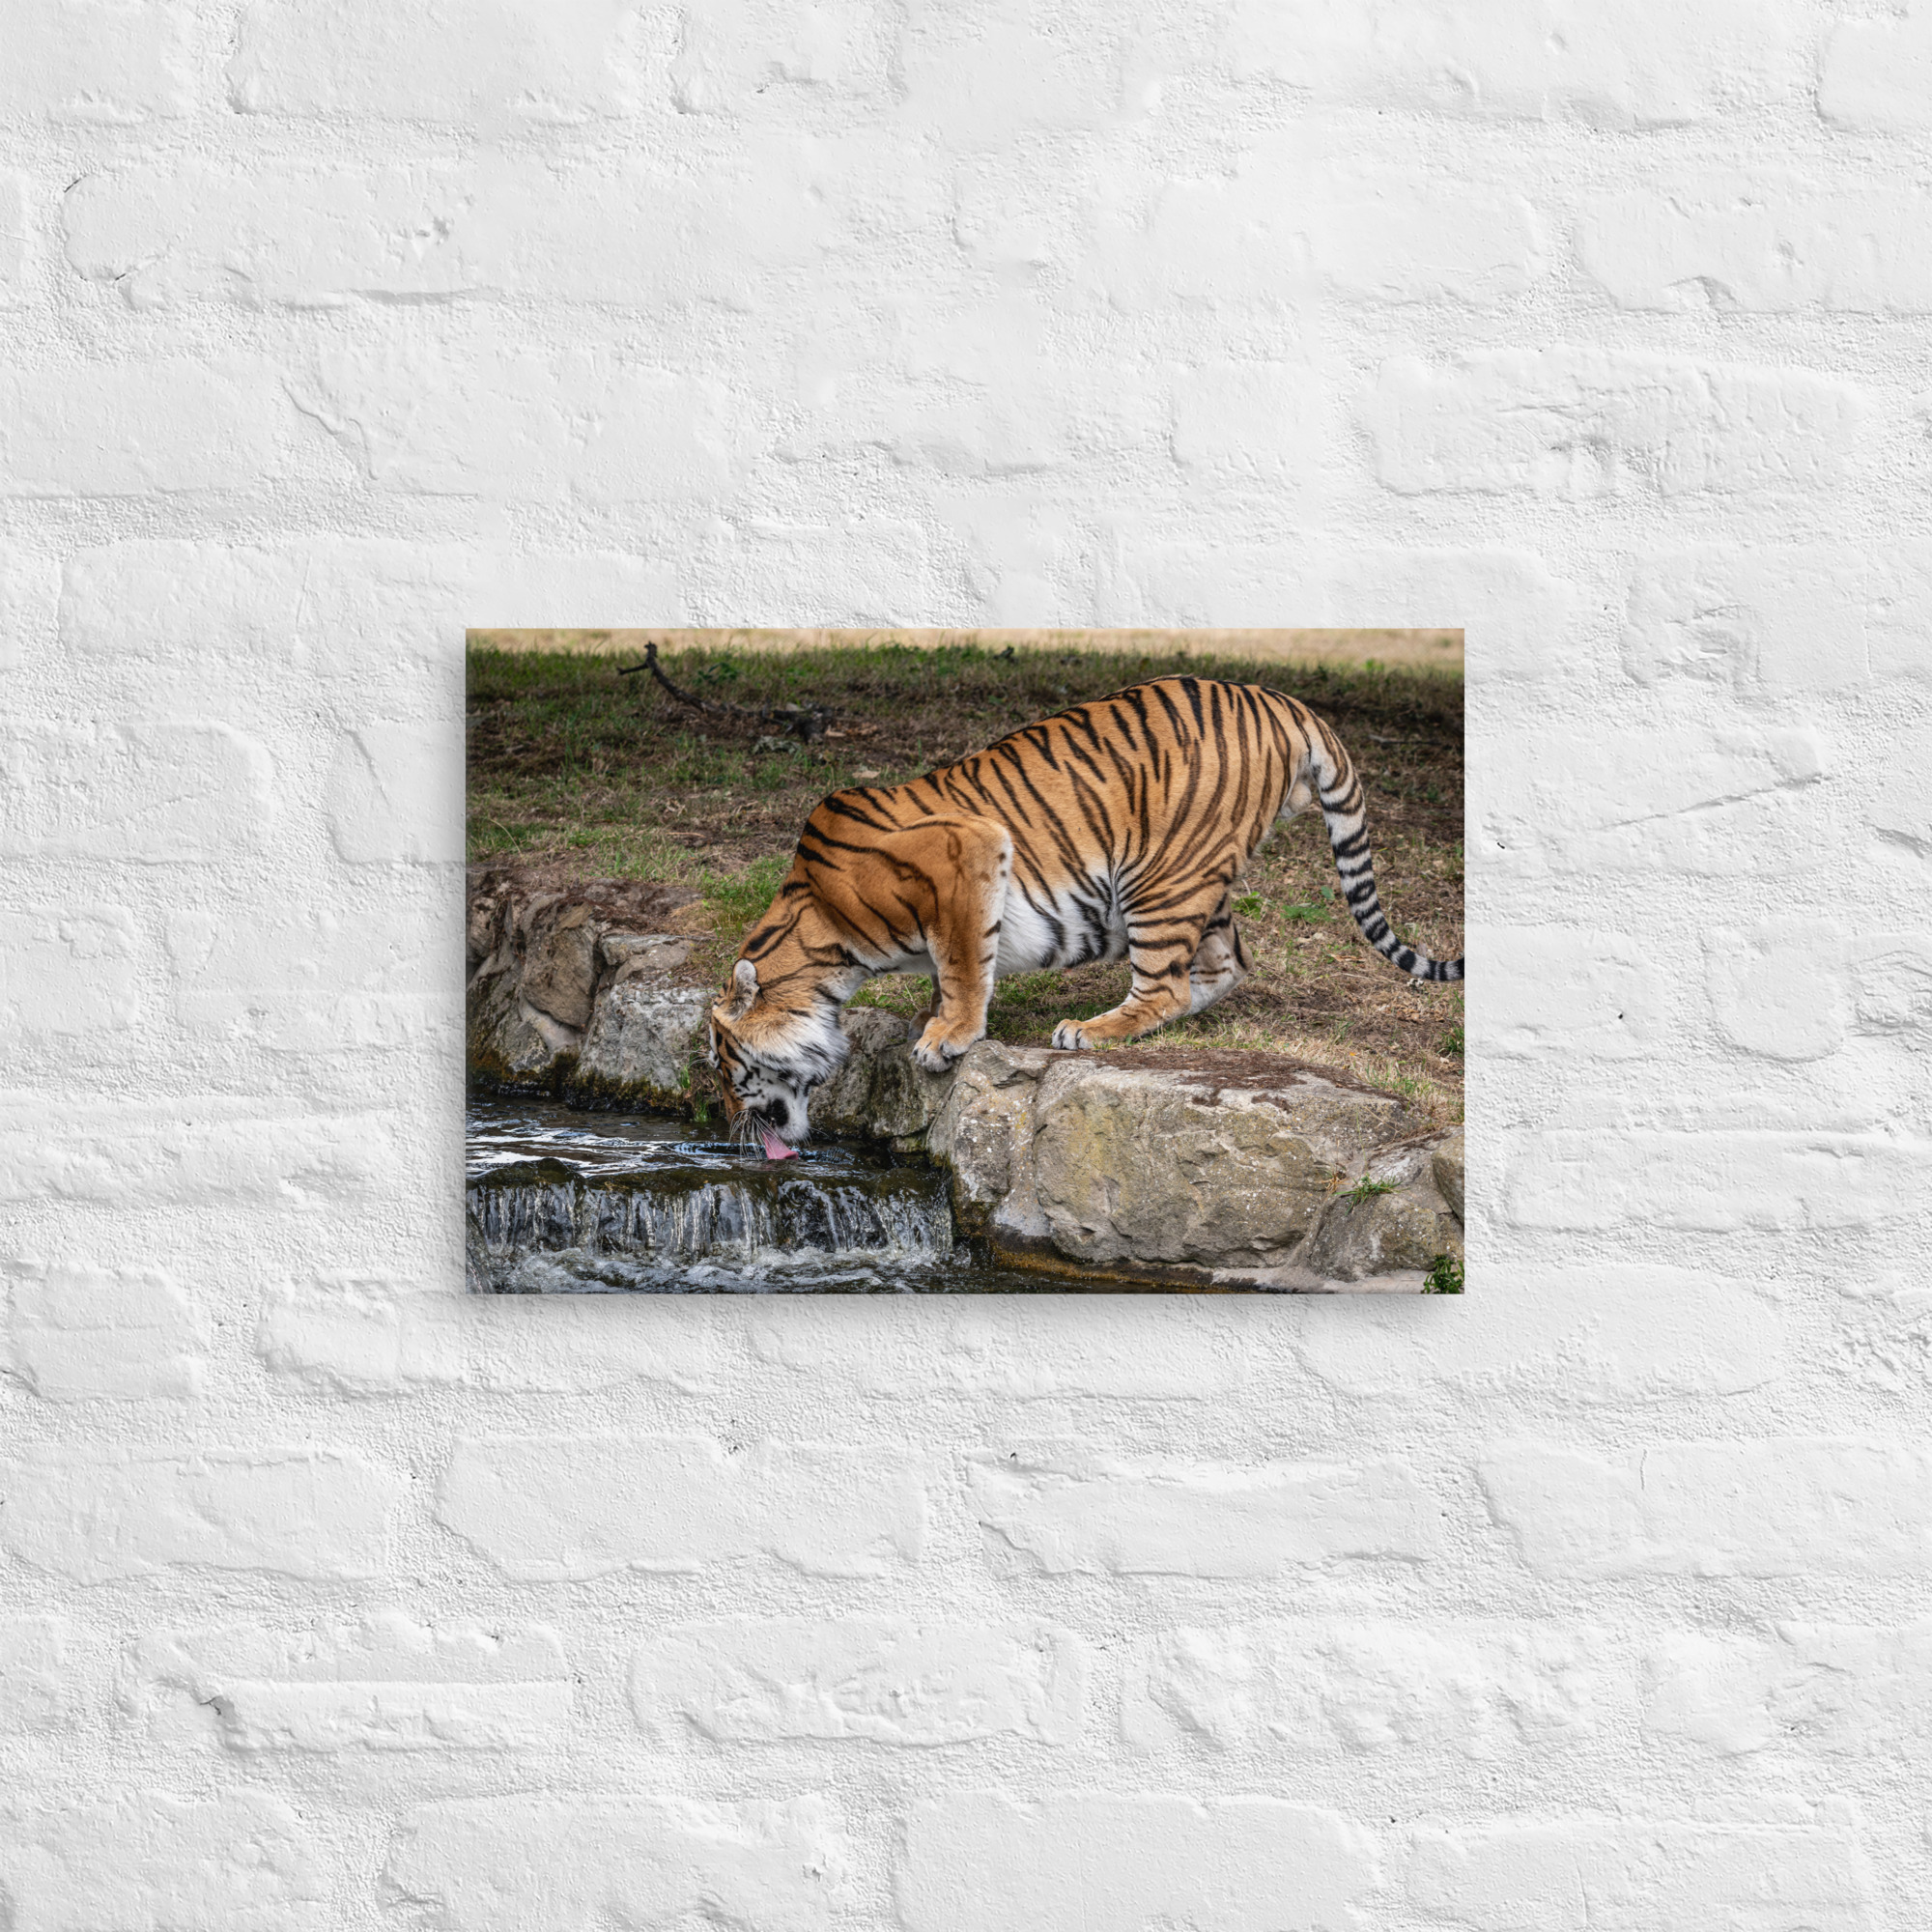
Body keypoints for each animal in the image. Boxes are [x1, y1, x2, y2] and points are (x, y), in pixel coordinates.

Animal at [707, 675, 1461, 1151]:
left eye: (723, 1064)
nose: (727, 1127)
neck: (823, 939)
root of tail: (1280, 700)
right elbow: (954, 967)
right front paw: (936, 1020)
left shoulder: (967, 852)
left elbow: (962, 964)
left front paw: (947, 1037)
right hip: (1198, 880)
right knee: (1224, 966)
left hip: (1158, 877)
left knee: (1165, 986)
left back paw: (1089, 1030)